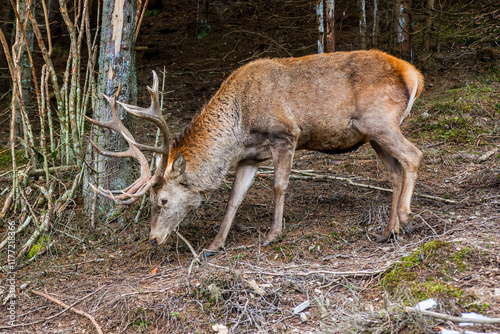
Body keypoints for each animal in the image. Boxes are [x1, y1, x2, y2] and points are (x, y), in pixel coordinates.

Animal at [86, 49, 422, 252]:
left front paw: (274, 234)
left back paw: (405, 218)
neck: (239, 128)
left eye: (163, 199)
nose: (154, 239)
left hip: (379, 120)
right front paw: (215, 245)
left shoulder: (285, 135)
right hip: (372, 135)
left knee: (413, 155)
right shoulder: (250, 157)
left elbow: (279, 185)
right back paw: (389, 231)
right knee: (395, 170)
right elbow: (234, 198)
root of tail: (412, 72)